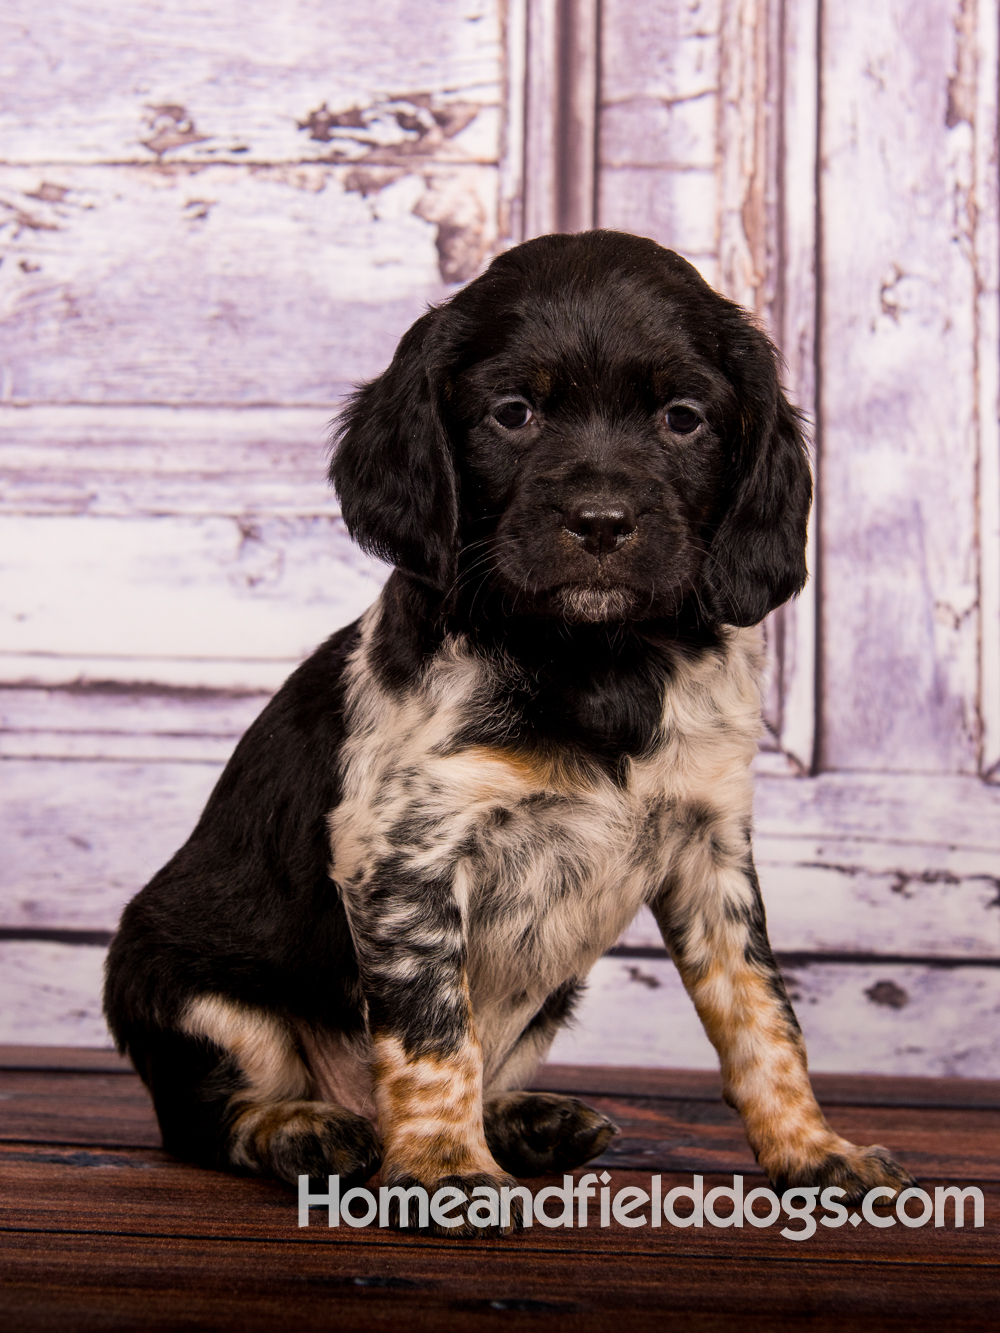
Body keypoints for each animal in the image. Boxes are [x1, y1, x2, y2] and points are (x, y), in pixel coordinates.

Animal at [104, 226, 917, 1226]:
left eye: (684, 417)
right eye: (513, 412)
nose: (601, 522)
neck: (599, 663)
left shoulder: (712, 847)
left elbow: (763, 1014)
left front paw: (814, 1151)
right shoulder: (404, 858)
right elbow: (431, 1028)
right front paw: (446, 1168)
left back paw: (524, 1118)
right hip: (186, 989)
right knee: (213, 1114)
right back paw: (309, 1128)